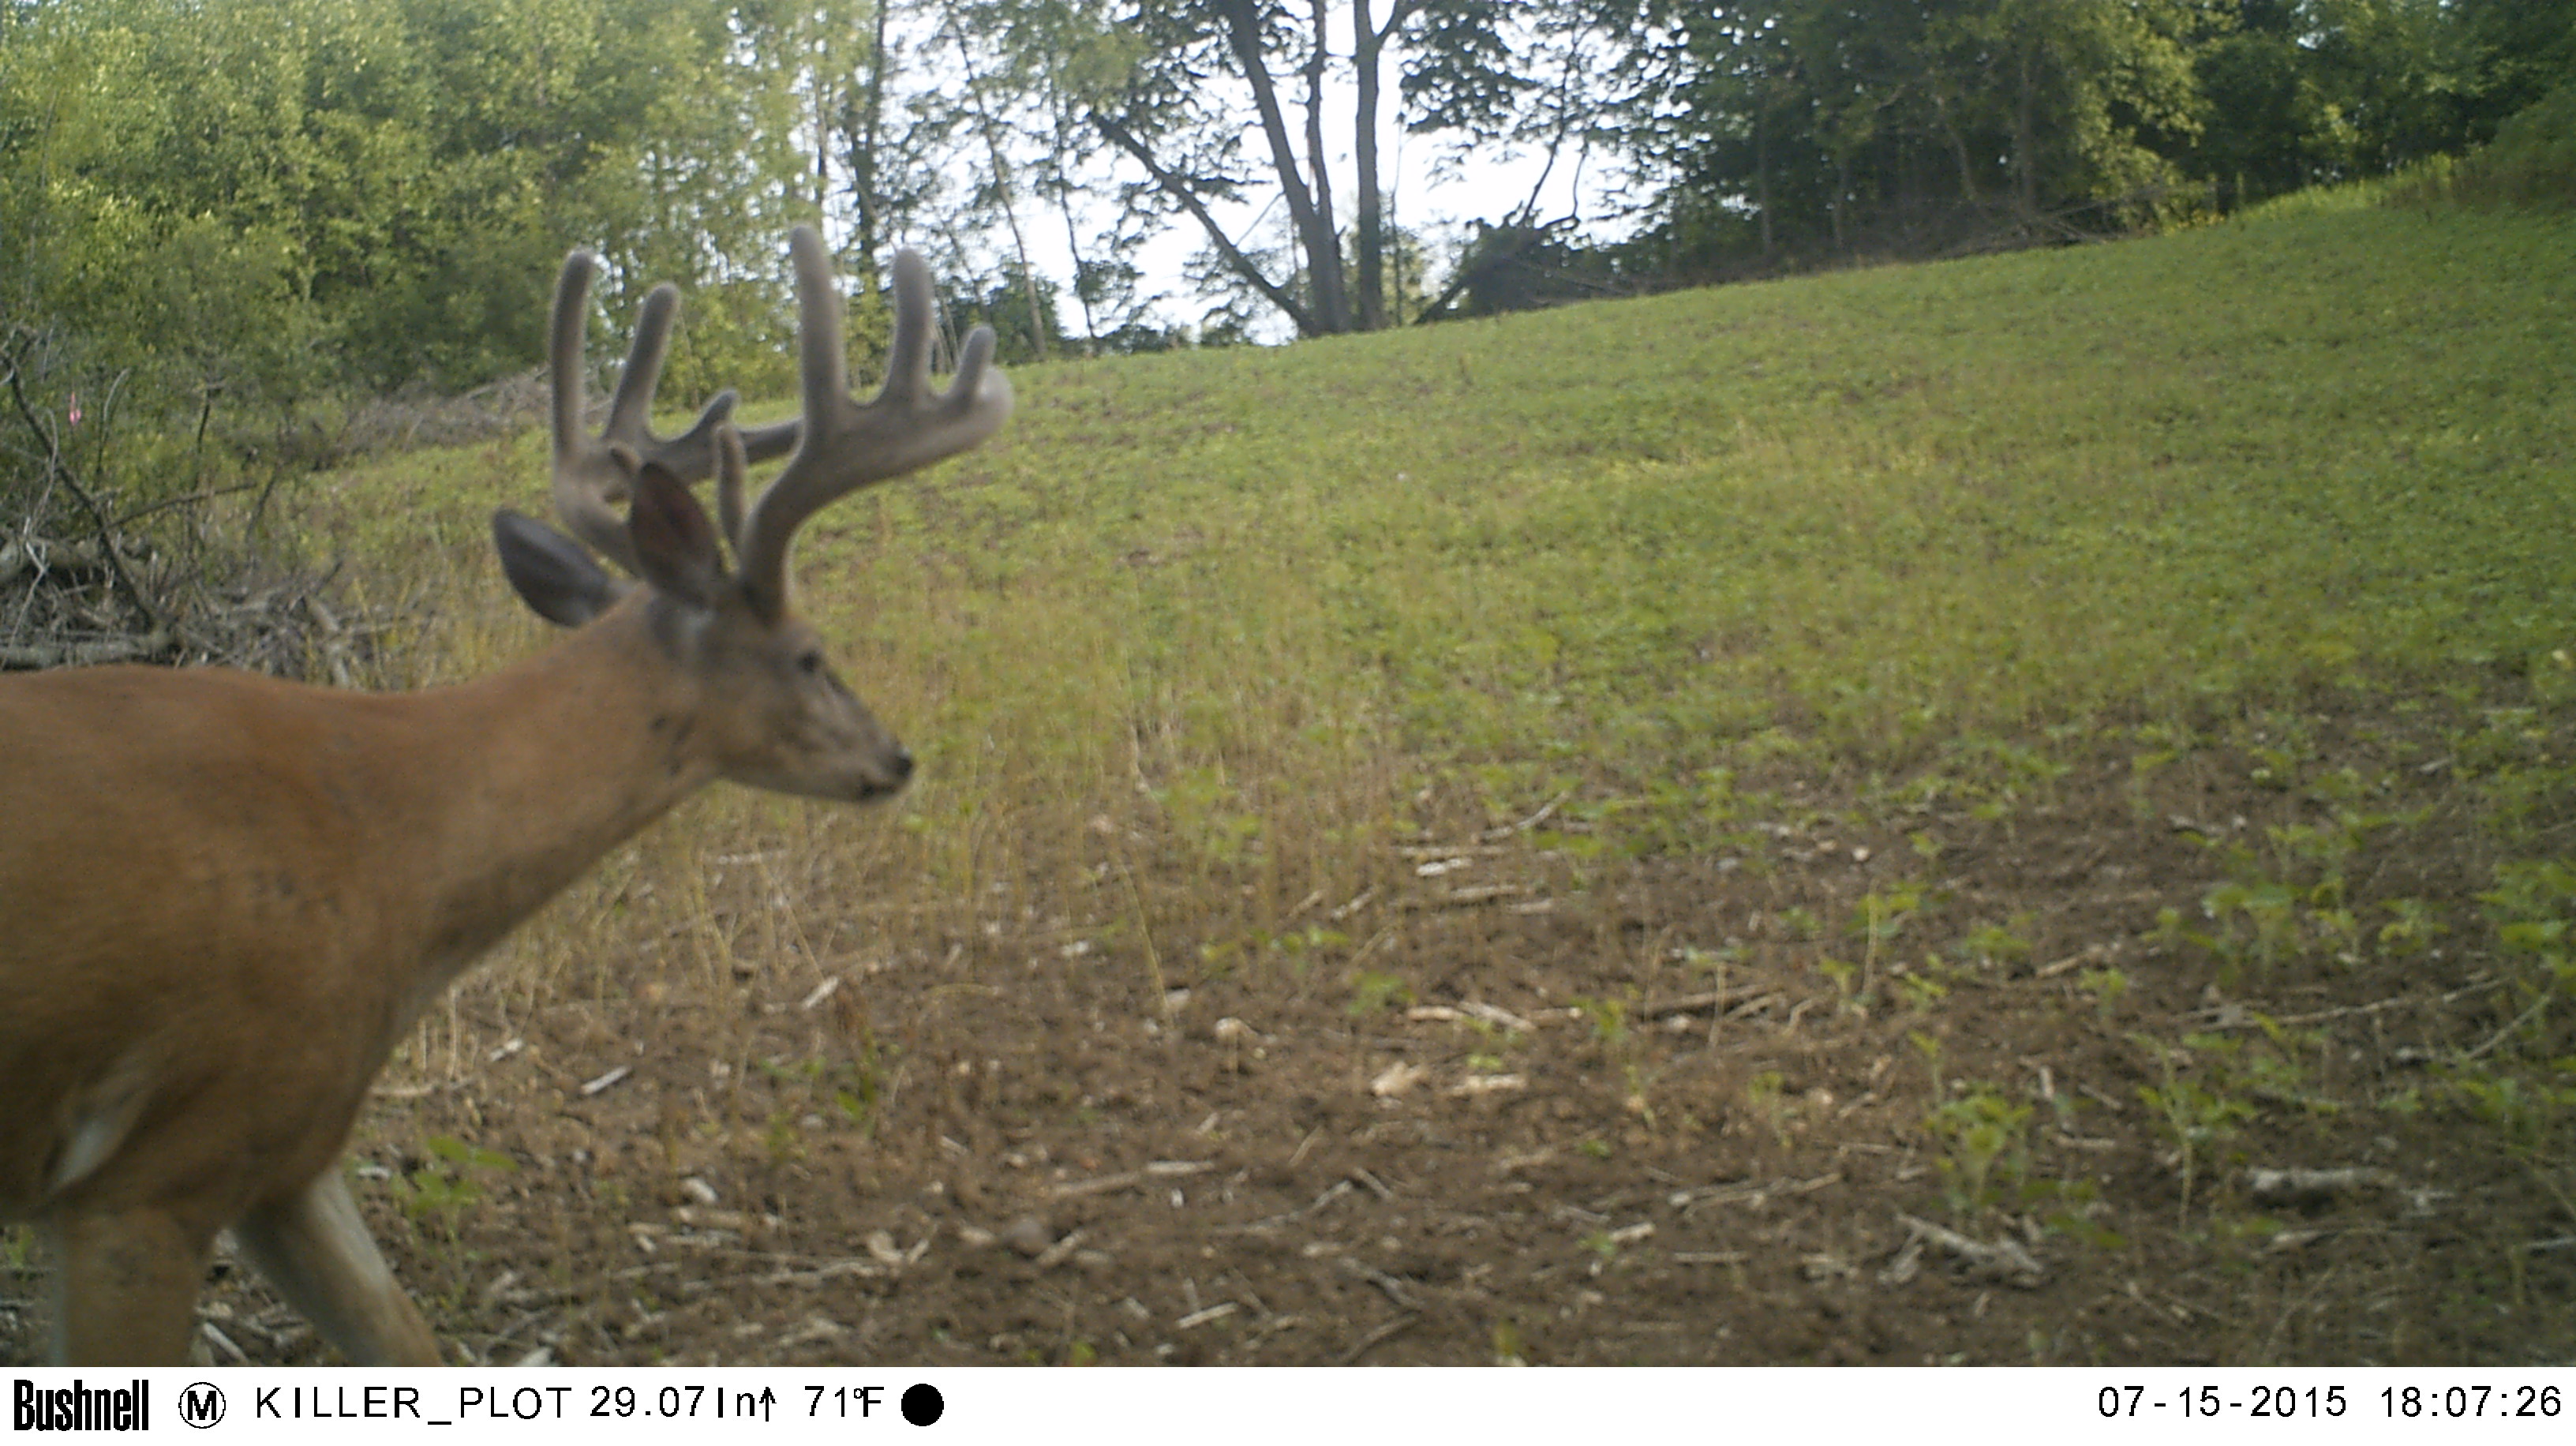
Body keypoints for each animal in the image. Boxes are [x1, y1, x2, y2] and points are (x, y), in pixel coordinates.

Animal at [0, 225, 1011, 1365]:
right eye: (809, 654)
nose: (895, 756)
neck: (385, 851)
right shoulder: (153, 1169)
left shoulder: (290, 1148)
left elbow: (405, 1341)